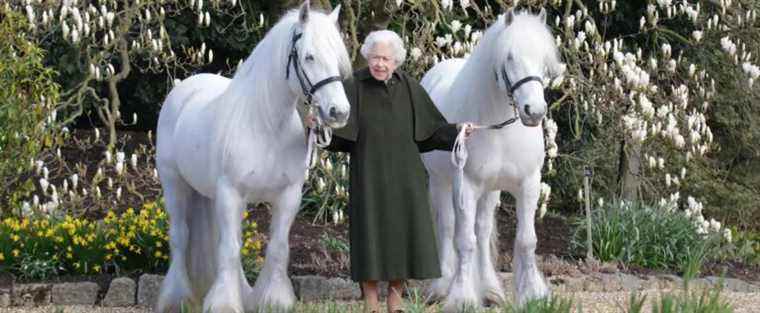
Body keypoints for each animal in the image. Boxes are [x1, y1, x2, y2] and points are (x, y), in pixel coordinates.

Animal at [157, 1, 354, 310]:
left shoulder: (288, 196)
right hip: (175, 185)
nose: (339, 112)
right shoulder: (230, 193)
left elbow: (276, 247)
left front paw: (273, 300)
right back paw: (177, 299)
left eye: (337, 58)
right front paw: (224, 304)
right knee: (180, 237)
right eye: (309, 56)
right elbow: (229, 249)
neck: (266, 125)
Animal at [422, 8, 564, 310]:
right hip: (441, 183)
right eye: (509, 56)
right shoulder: (465, 186)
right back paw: (441, 287)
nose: (534, 111)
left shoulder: (528, 185)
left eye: (543, 58)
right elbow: (465, 241)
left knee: (484, 229)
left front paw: (533, 294)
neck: (500, 128)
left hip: (490, 190)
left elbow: (526, 240)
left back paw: (489, 289)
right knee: (447, 227)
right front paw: (462, 297)